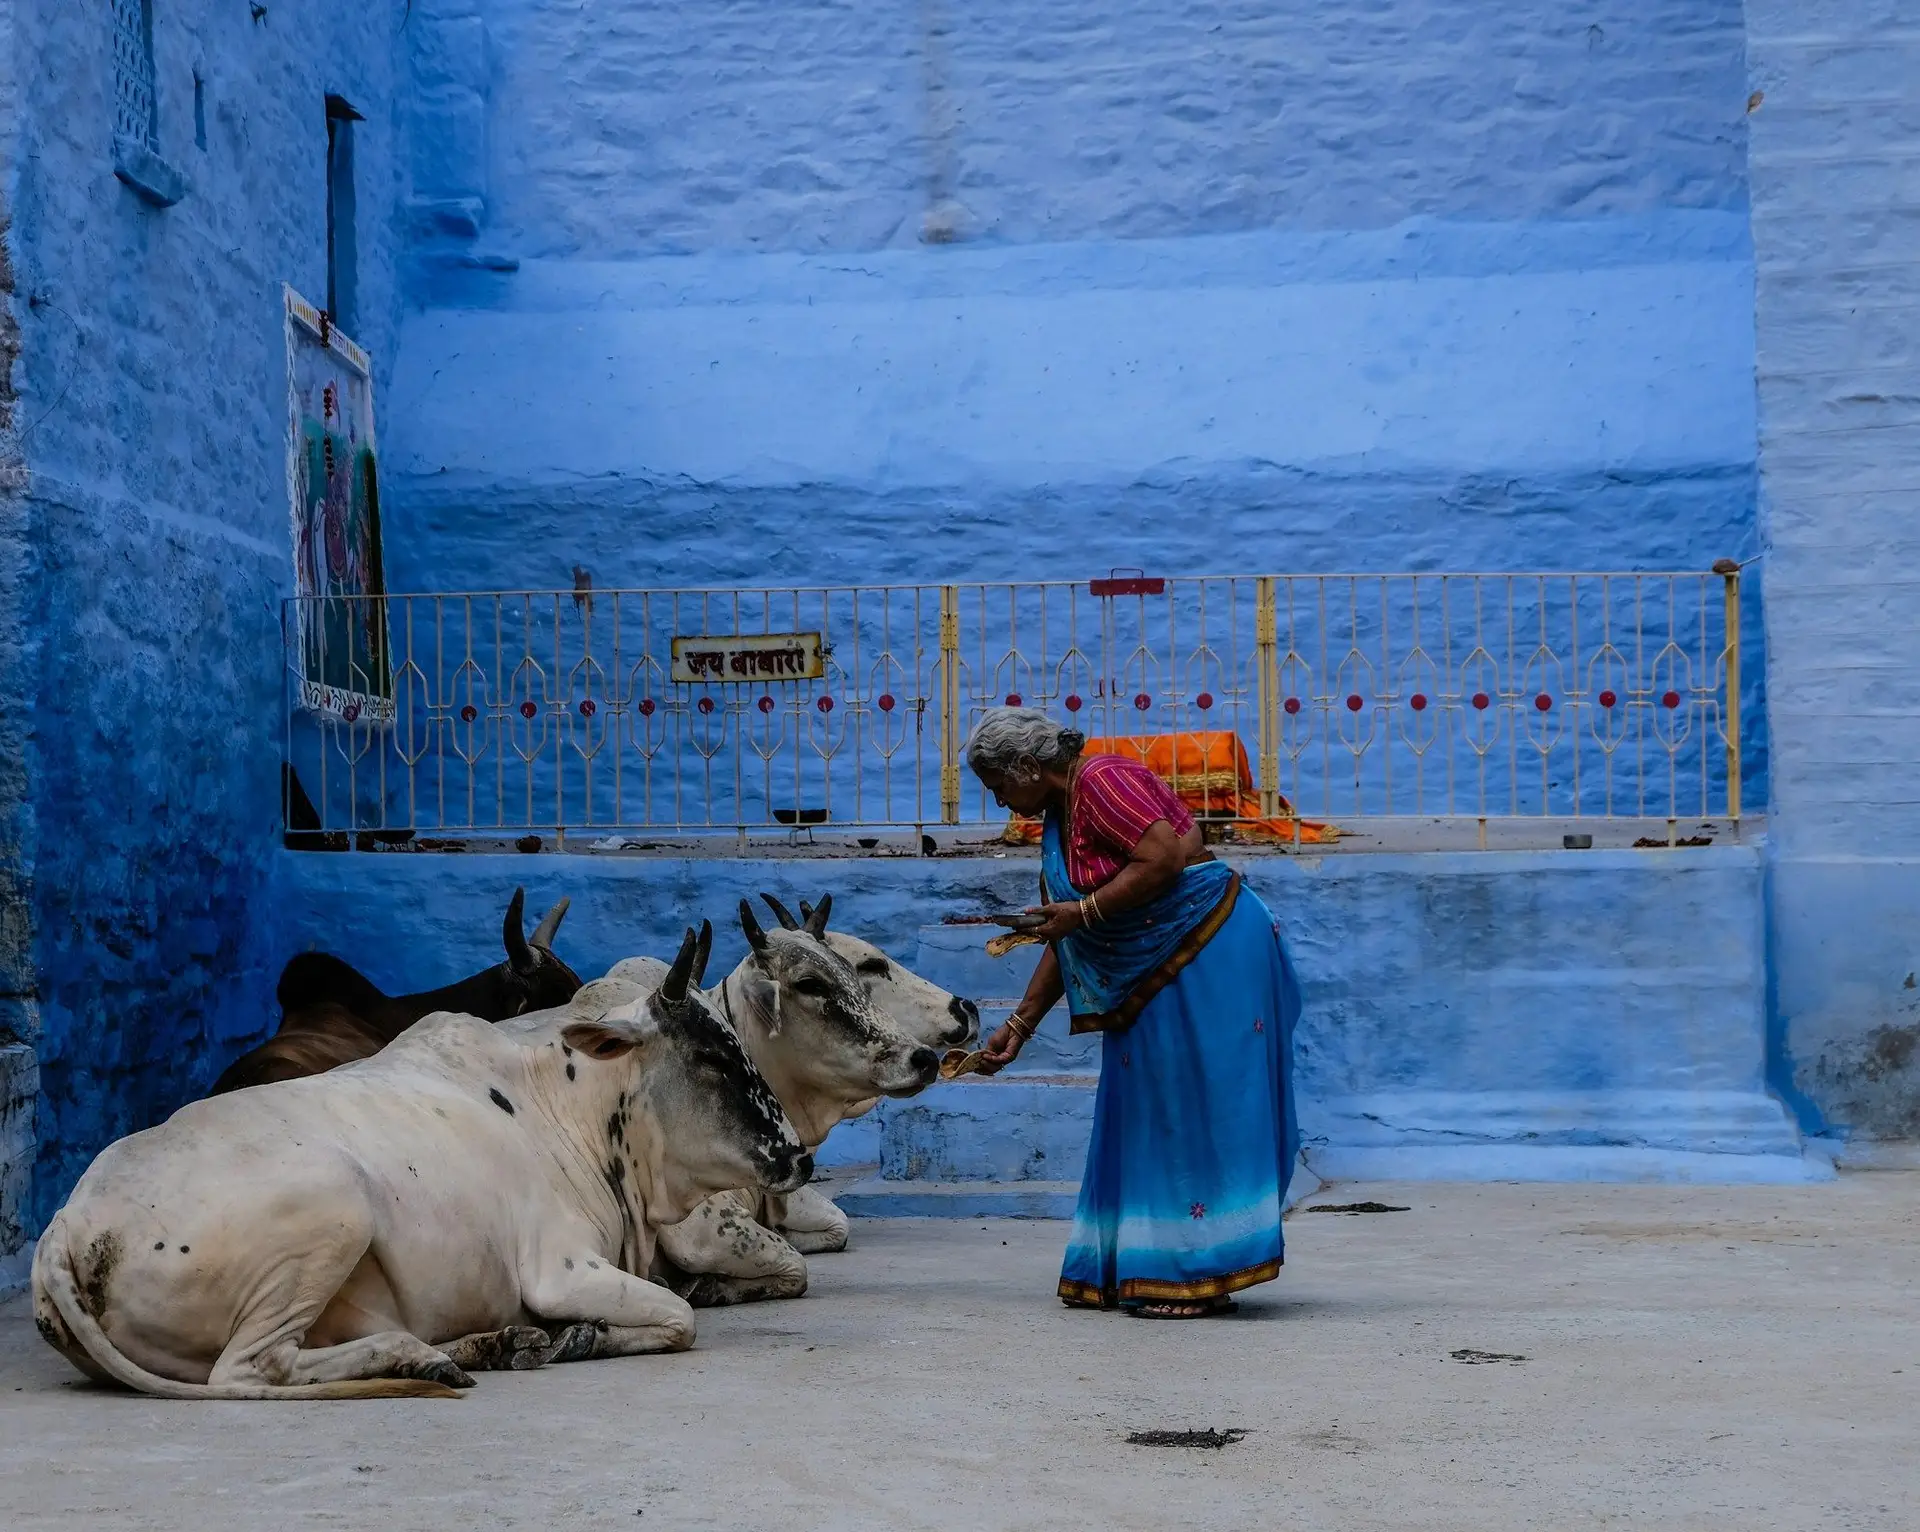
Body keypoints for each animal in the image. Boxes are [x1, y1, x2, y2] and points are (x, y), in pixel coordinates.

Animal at [32, 928, 810, 1400]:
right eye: (711, 1056)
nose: (798, 1155)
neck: (571, 1109)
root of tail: (65, 1229)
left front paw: (560, 1337)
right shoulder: (560, 1269)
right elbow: (680, 1315)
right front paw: (582, 1337)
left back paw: (487, 1344)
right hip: (336, 1202)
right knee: (253, 1367)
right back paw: (418, 1353)